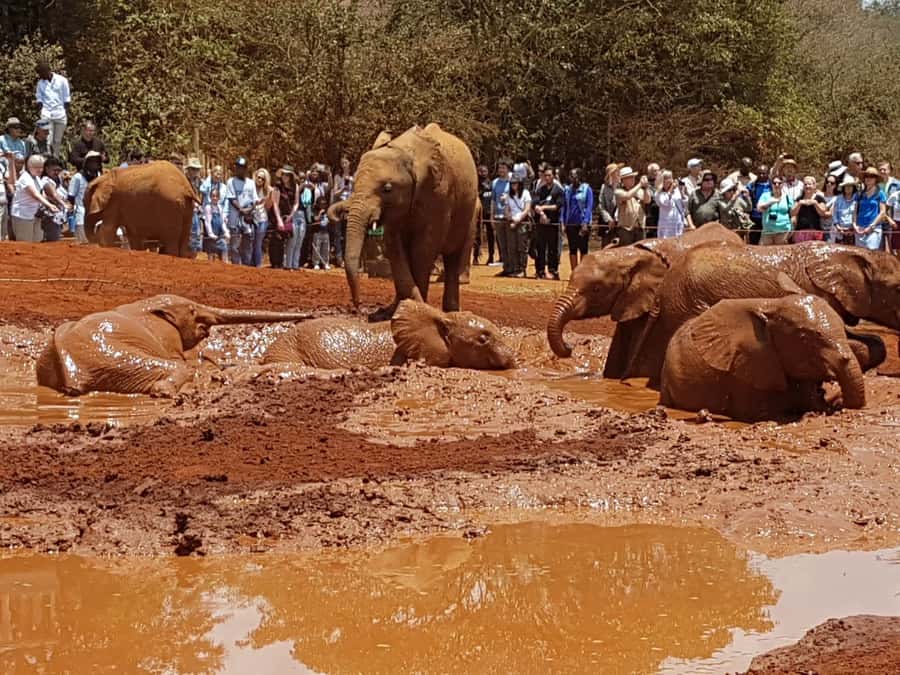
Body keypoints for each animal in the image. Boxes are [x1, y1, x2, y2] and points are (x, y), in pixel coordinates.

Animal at [37, 295, 312, 396]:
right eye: (192, 310)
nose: (309, 315)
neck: (145, 304)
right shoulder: (166, 341)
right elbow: (184, 361)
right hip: (110, 356)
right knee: (174, 370)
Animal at [343, 123, 479, 321]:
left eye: (387, 189)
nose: (359, 306)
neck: (406, 153)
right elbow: (395, 247)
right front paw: (392, 311)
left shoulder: (439, 195)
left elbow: (423, 249)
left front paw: (418, 309)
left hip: (468, 210)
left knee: (453, 256)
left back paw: (451, 311)